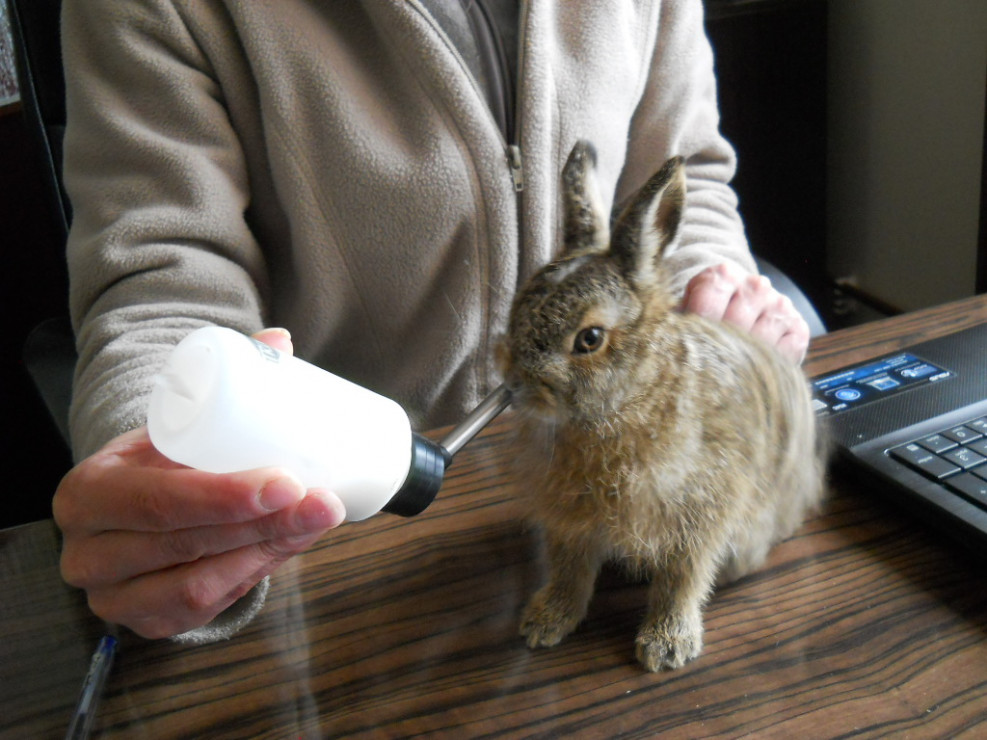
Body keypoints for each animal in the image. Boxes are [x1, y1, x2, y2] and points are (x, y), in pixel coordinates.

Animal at [498, 142, 828, 672]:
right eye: (518, 309)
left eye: (589, 339)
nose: (514, 385)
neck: (629, 400)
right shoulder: (570, 522)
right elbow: (570, 569)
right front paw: (545, 622)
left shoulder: (700, 515)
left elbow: (682, 580)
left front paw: (666, 648)